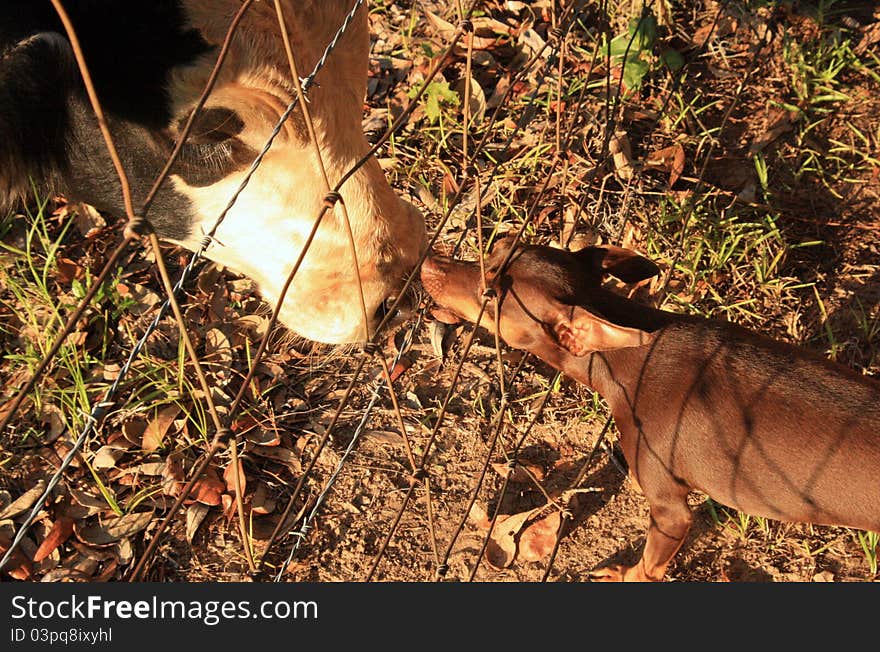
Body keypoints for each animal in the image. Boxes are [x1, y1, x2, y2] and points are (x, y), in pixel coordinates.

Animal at [422, 238, 880, 580]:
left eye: (490, 296)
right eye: (497, 246)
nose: (428, 262)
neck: (629, 355)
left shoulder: (670, 510)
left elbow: (648, 567)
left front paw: (621, 575)